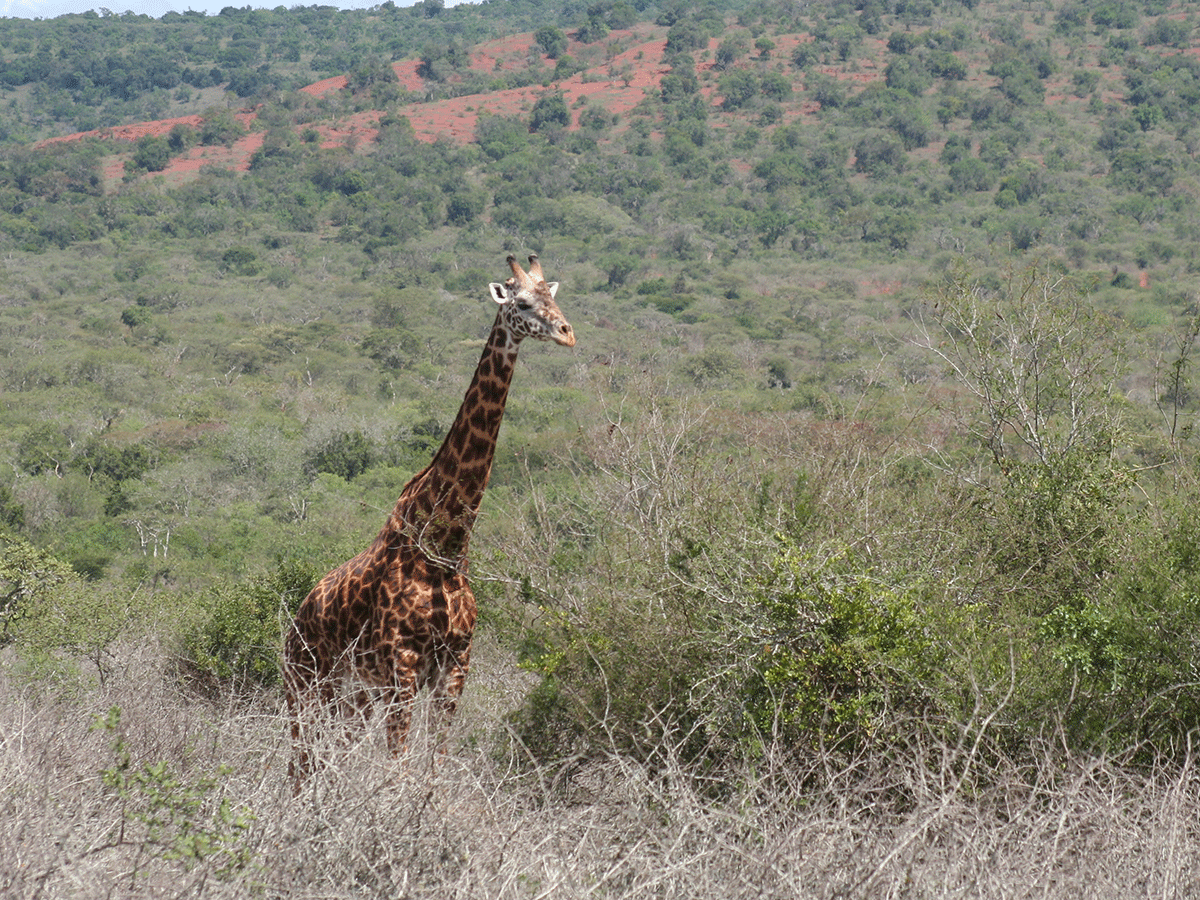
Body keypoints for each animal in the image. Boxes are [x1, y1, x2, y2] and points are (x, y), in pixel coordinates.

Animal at [285, 255, 576, 787]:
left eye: (554, 297)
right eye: (523, 303)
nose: (567, 334)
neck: (446, 545)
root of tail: (295, 620)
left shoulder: (455, 667)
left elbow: (435, 765)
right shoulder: (402, 668)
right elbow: (399, 769)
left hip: (353, 698)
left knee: (328, 761)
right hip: (306, 686)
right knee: (300, 764)